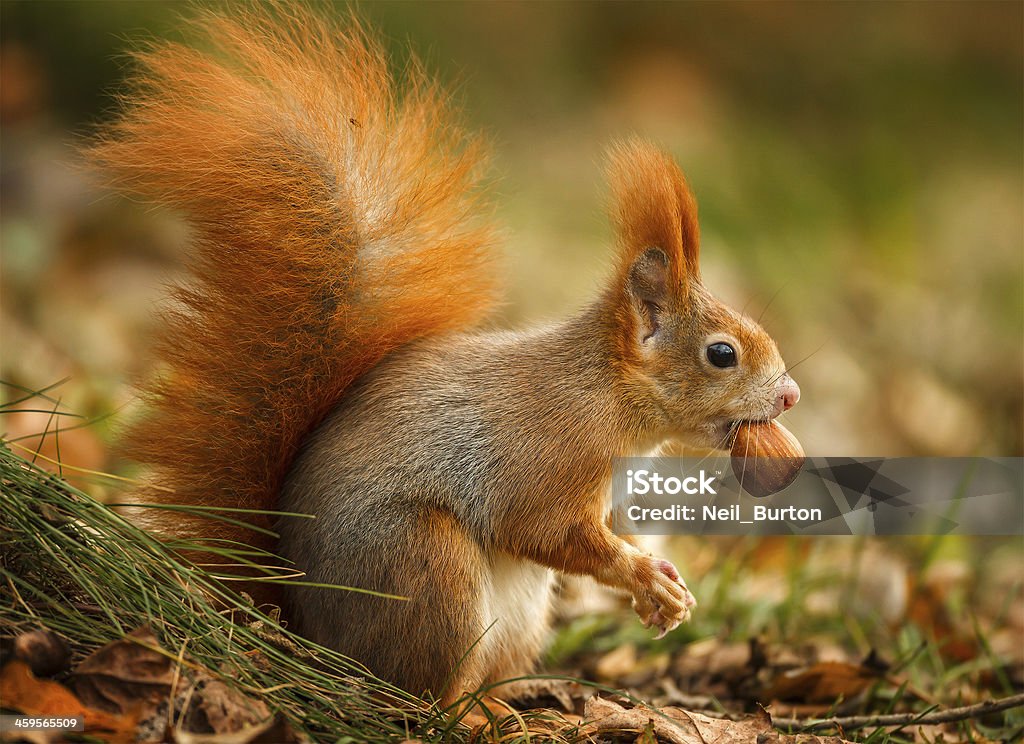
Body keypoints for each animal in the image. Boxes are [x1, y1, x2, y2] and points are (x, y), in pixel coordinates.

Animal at [94, 5, 798, 704]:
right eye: (721, 354)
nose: (790, 395)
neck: (606, 390)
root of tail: (302, 625)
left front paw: (664, 591)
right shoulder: (550, 455)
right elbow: (544, 529)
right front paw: (643, 575)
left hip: (515, 609)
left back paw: (520, 702)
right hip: (427, 569)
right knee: (425, 694)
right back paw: (475, 715)